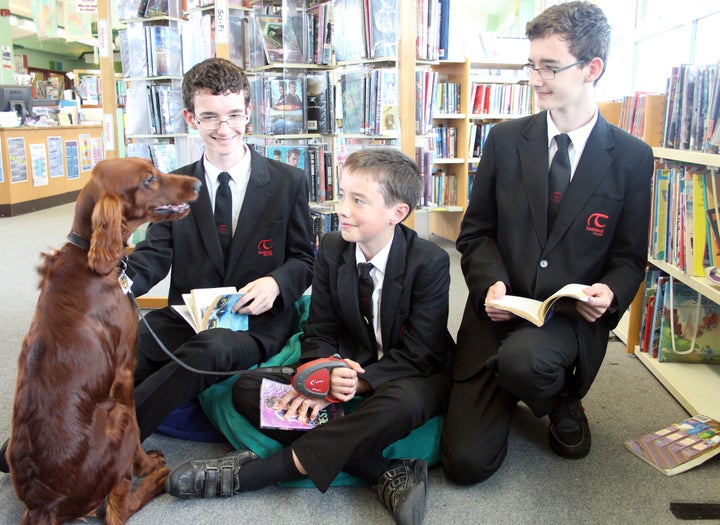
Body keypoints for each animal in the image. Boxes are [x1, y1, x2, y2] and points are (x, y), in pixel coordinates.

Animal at [9, 158, 202, 520]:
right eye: (149, 179)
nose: (198, 184)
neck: (85, 258)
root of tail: (46, 504)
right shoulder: (125, 370)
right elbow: (139, 427)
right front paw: (145, 463)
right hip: (117, 416)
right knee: (119, 508)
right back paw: (155, 479)